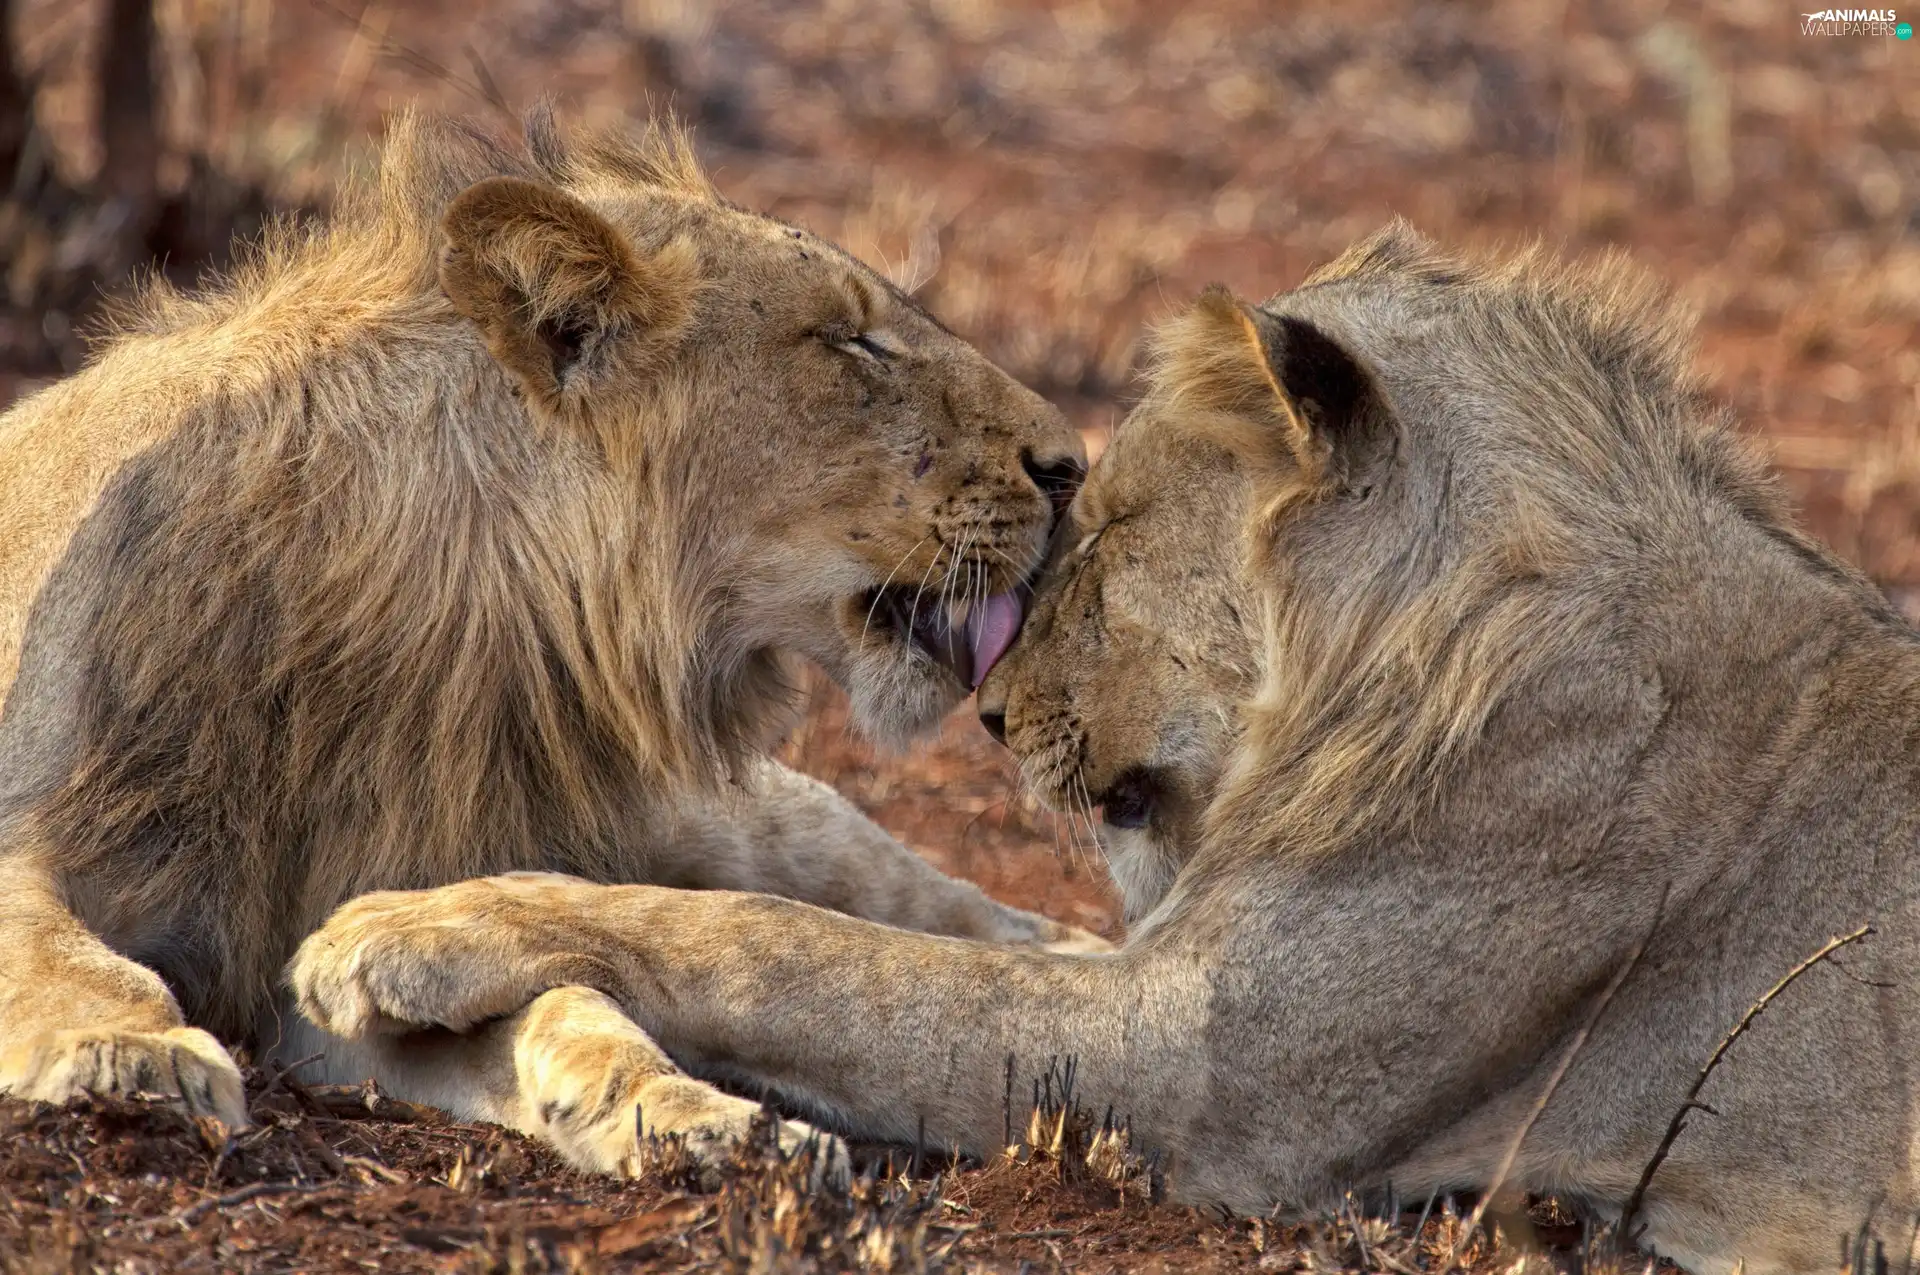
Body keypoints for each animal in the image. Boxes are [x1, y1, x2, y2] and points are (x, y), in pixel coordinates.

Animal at [0, 104, 1105, 1182]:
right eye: (852, 342)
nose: (1071, 469)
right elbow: (61, 949)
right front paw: (132, 1053)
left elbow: (567, 1004)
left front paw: (696, 1120)